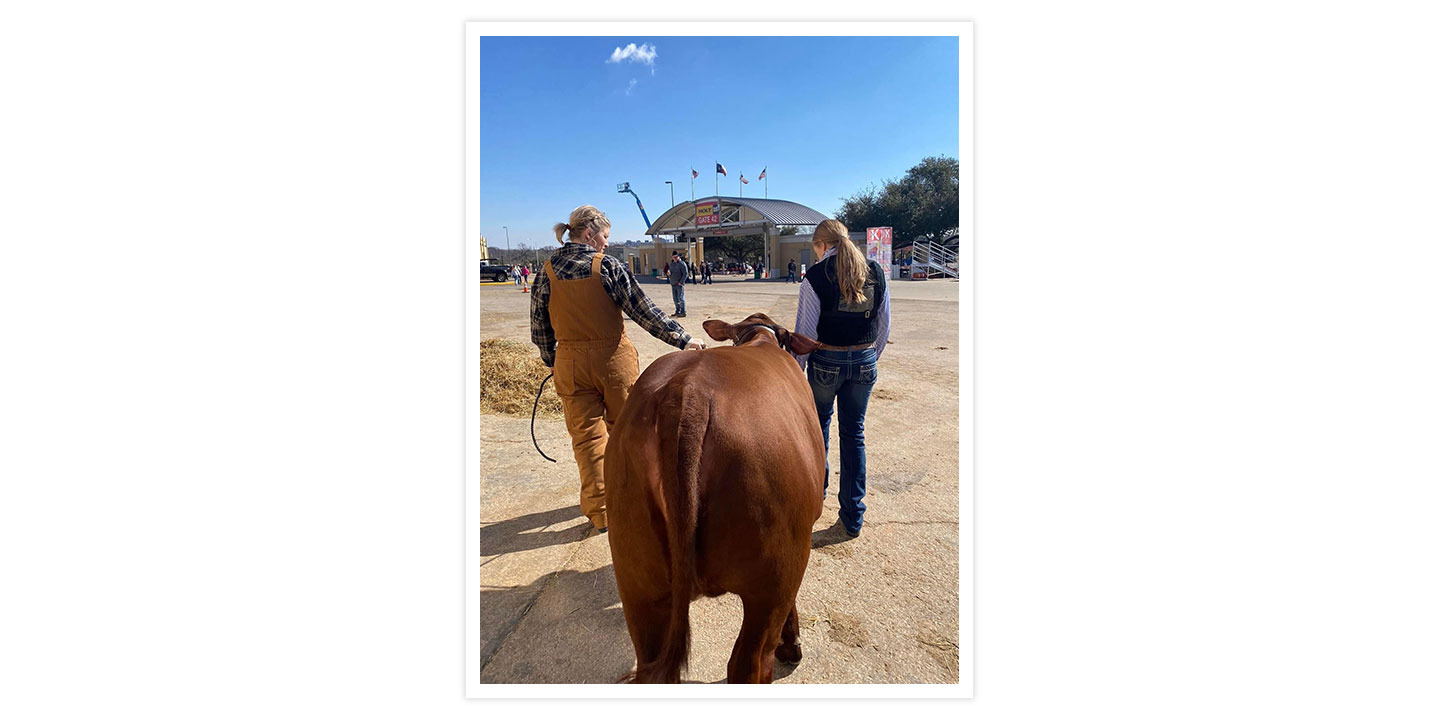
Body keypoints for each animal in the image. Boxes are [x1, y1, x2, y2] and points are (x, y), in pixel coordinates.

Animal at [604, 312, 823, 682]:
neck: (761, 338)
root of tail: (687, 392)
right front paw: (791, 645)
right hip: (773, 574)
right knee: (748, 663)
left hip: (637, 575)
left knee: (651, 662)